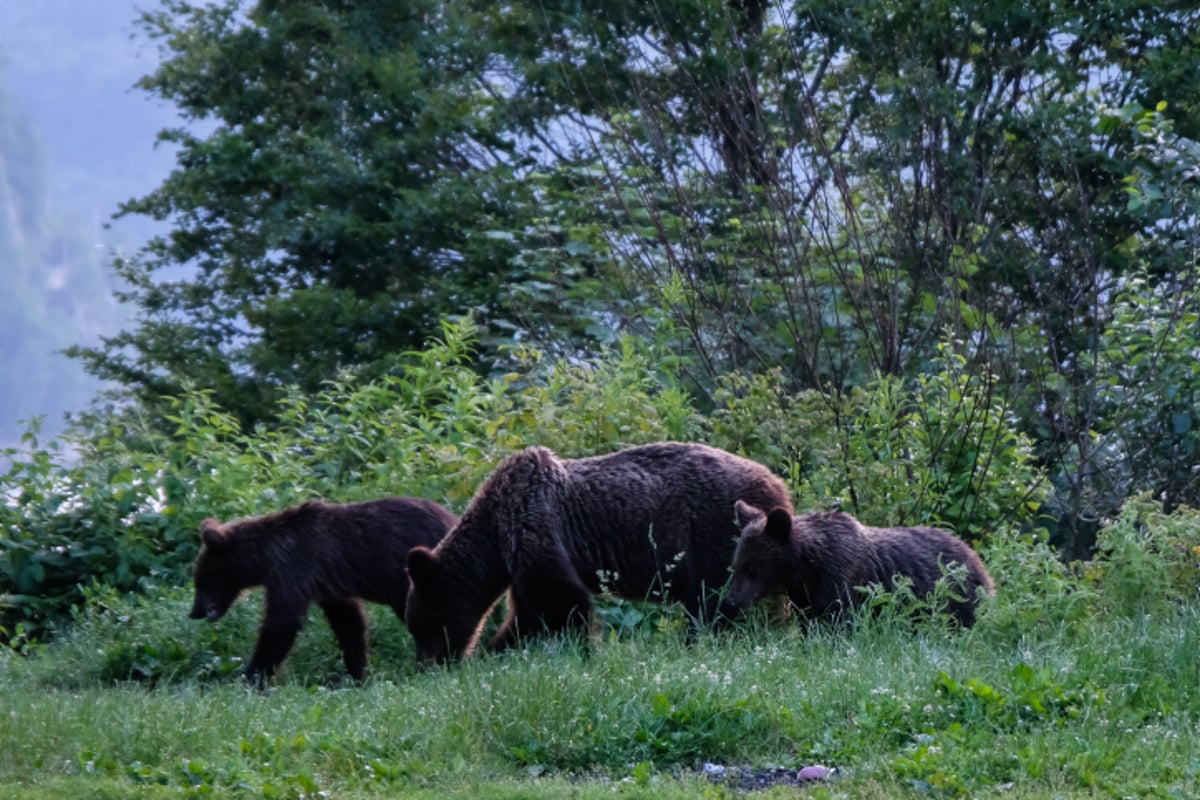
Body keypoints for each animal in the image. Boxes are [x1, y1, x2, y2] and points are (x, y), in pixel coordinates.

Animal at [189, 496, 456, 686]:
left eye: (201, 580)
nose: (194, 612)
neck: (264, 558)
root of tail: (451, 518)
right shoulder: (327, 586)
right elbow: (349, 624)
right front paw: (355, 673)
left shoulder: (293, 569)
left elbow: (281, 624)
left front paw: (252, 678)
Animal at [405, 443, 796, 662]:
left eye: (422, 624)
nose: (429, 663)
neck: (494, 538)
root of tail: (777, 483)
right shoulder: (521, 557)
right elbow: (529, 616)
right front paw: (497, 650)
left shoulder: (535, 527)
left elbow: (562, 602)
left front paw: (583, 651)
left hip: (712, 534)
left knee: (713, 602)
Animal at [720, 506, 993, 623]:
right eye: (736, 565)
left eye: (753, 568)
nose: (731, 602)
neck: (807, 566)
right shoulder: (804, 594)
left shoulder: (843, 577)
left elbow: (839, 618)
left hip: (958, 597)